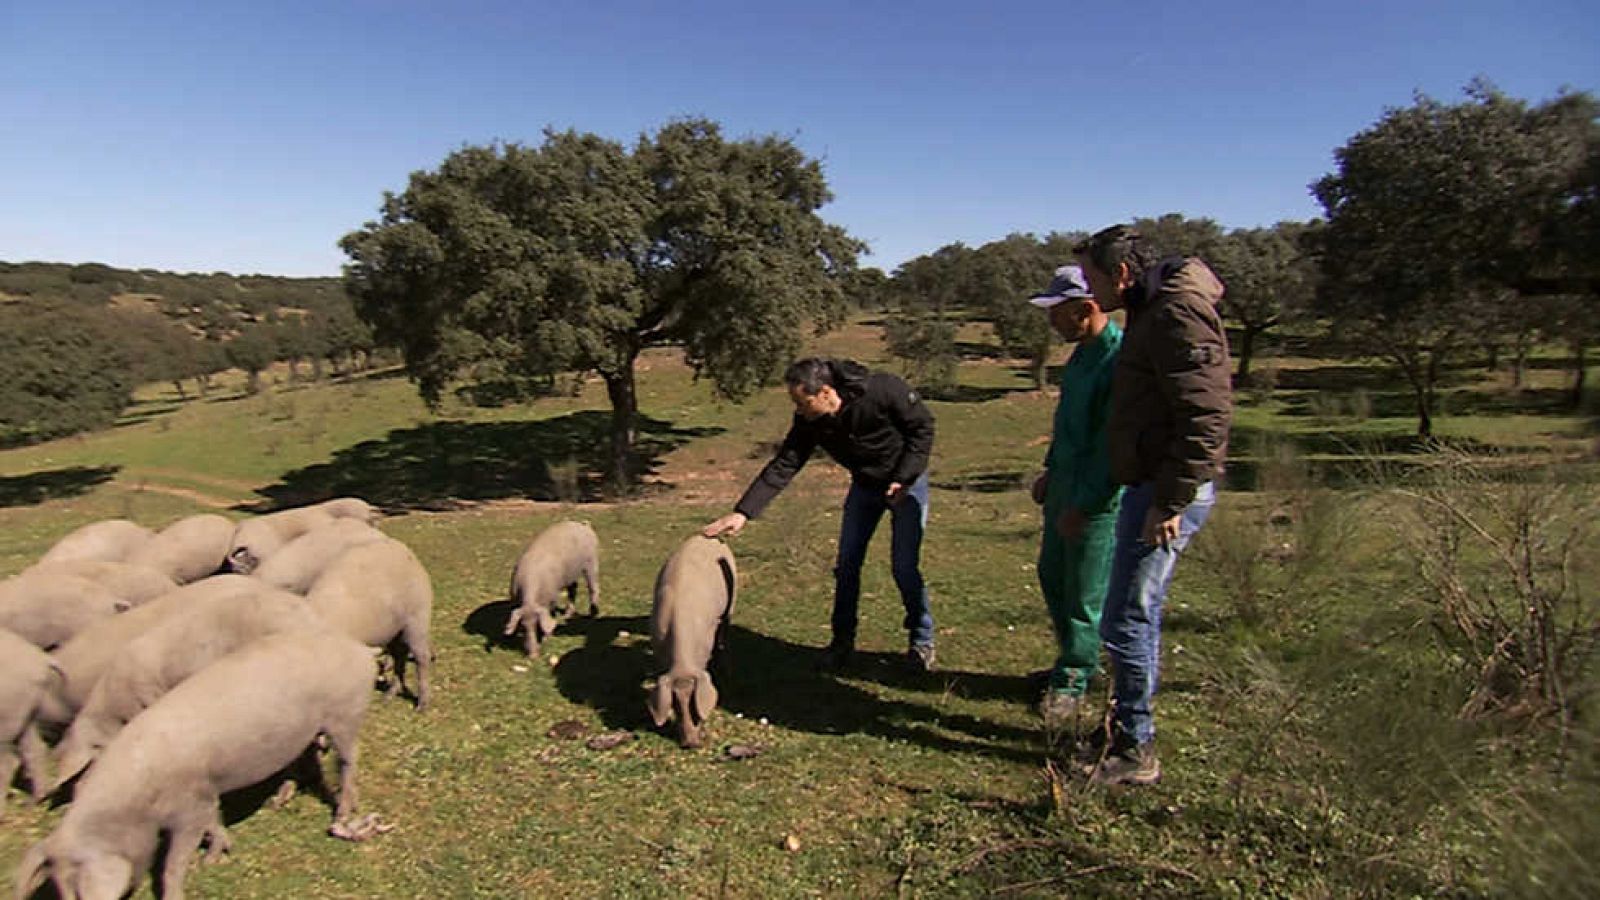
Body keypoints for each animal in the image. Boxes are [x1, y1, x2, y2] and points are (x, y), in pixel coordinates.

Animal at [14, 629, 375, 900]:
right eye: (59, 889)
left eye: (77, 889)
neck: (137, 805)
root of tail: (361, 651)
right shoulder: (205, 795)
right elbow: (214, 820)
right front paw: (216, 856)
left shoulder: (188, 807)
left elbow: (173, 865)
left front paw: (199, 868)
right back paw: (280, 801)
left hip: (345, 715)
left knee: (349, 761)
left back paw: (342, 813)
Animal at [305, 538, 433, 710]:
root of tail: (402, 548)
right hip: (393, 631)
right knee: (399, 657)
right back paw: (389, 695)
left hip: (417, 619)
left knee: (422, 658)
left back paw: (422, 703)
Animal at [502, 520, 600, 658]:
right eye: (523, 626)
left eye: (538, 625)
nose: (533, 656)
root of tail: (583, 525)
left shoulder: (552, 596)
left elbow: (551, 614)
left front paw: (548, 636)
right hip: (570, 574)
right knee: (573, 589)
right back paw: (567, 615)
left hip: (592, 562)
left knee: (593, 587)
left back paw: (593, 613)